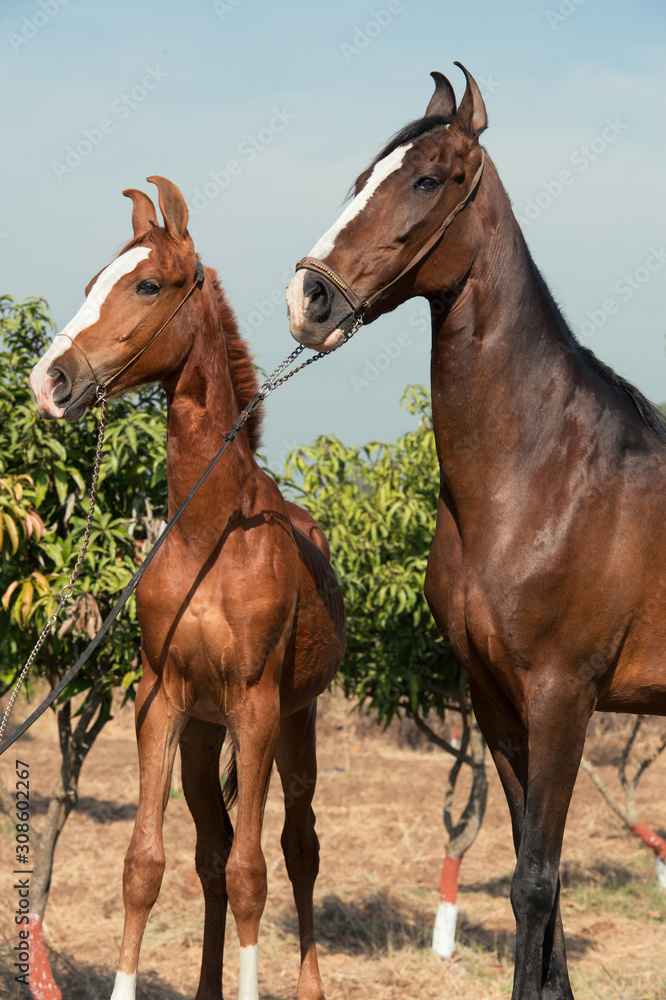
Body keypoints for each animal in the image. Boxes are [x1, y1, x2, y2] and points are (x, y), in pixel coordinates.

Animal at [29, 175, 346, 1000]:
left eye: (148, 284)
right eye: (90, 282)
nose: (50, 381)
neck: (212, 538)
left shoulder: (257, 709)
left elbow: (252, 873)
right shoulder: (160, 700)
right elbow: (147, 864)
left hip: (295, 721)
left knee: (297, 845)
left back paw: (309, 985)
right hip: (205, 734)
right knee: (210, 849)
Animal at [285, 64, 666, 999]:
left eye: (429, 180)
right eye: (360, 180)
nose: (307, 298)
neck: (540, 474)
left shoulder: (564, 695)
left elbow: (537, 882)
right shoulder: (497, 703)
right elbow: (540, 877)